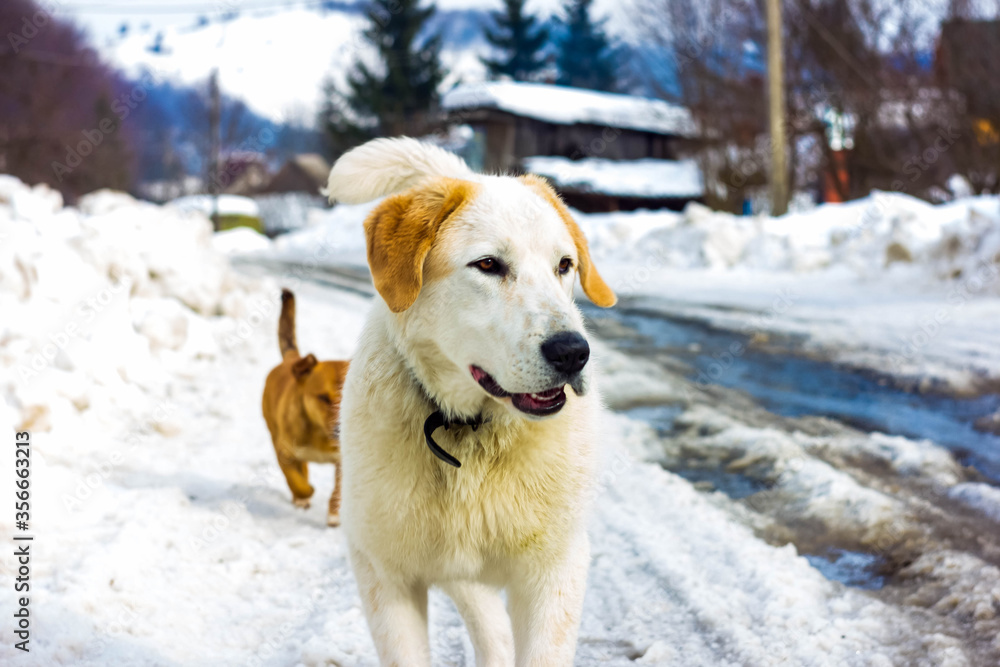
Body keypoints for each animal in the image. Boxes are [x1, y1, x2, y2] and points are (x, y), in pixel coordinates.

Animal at [262, 290, 348, 528]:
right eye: (323, 398)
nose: (340, 430)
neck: (320, 434)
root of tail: (293, 360)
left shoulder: (344, 459)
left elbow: (338, 490)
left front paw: (335, 514)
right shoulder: (284, 450)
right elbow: (294, 479)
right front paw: (304, 493)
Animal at [328, 137, 612, 667]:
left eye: (564, 265)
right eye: (488, 265)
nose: (572, 353)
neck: (470, 433)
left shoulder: (554, 571)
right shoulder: (384, 573)